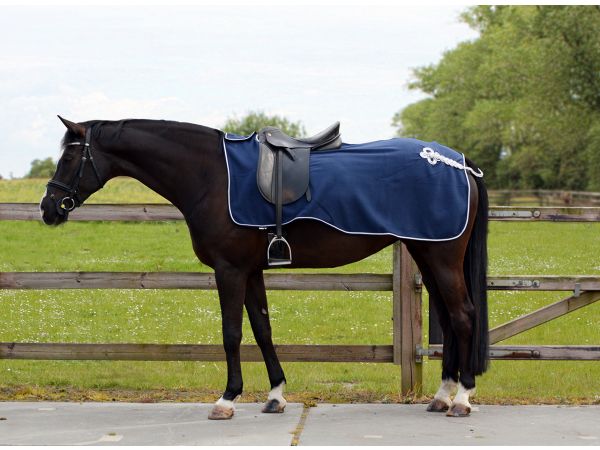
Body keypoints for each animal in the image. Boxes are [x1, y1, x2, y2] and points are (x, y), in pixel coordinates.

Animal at [41, 116, 488, 418]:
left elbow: (232, 333)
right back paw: (442, 395)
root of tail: (459, 163)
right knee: (449, 319)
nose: (48, 208)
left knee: (464, 316)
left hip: (441, 257)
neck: (211, 174)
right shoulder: (251, 270)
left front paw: (227, 399)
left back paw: (462, 398)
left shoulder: (229, 270)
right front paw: (275, 395)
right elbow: (262, 329)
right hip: (426, 254)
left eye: (70, 155)